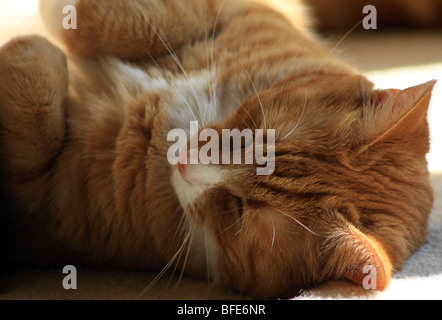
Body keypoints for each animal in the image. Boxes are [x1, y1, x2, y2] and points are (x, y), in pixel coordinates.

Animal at [0, 0, 436, 298]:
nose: (185, 161)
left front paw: (32, 45)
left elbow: (38, 111)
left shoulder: (51, 205)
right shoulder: (242, 12)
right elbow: (136, 20)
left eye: (238, 209)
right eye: (252, 134)